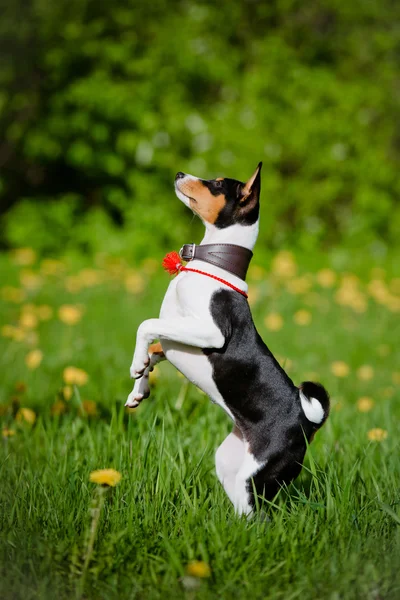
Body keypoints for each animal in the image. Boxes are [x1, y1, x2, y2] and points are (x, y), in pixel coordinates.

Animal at [126, 163, 330, 516]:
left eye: (218, 184)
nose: (179, 174)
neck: (212, 264)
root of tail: (307, 422)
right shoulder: (175, 334)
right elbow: (156, 347)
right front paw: (139, 389)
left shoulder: (211, 331)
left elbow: (146, 326)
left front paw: (136, 365)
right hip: (230, 466)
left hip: (256, 479)